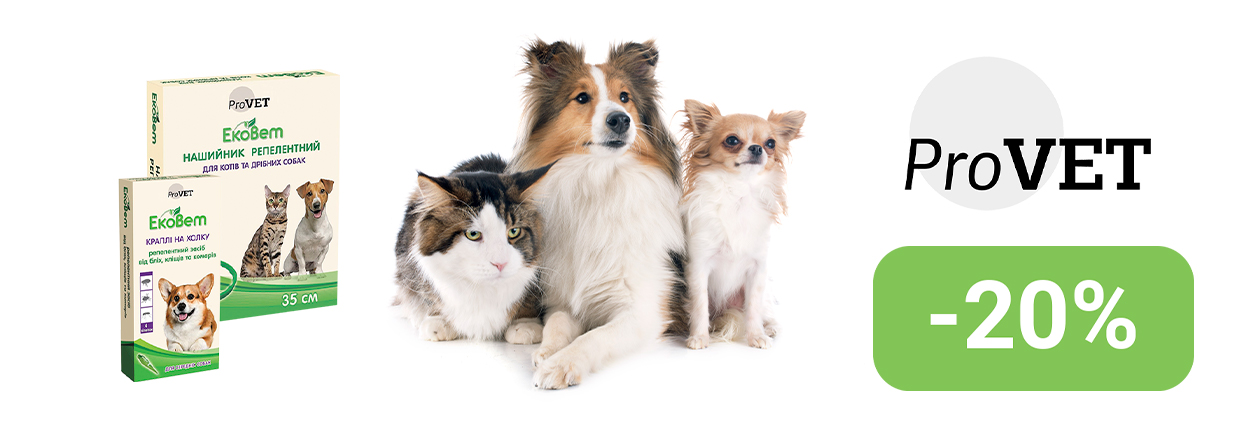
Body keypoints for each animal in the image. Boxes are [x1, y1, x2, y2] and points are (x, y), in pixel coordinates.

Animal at [510, 39, 685, 389]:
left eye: (624, 97)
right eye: (581, 97)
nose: (620, 119)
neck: (598, 182)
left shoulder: (644, 311)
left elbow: (594, 337)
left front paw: (560, 364)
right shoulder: (564, 297)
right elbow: (557, 323)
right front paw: (548, 351)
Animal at [678, 100, 805, 349]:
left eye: (771, 143)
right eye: (732, 140)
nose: (757, 148)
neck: (738, 193)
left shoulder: (757, 269)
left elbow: (753, 307)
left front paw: (756, 336)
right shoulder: (699, 266)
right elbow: (699, 306)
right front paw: (699, 337)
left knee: (764, 310)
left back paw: (770, 328)